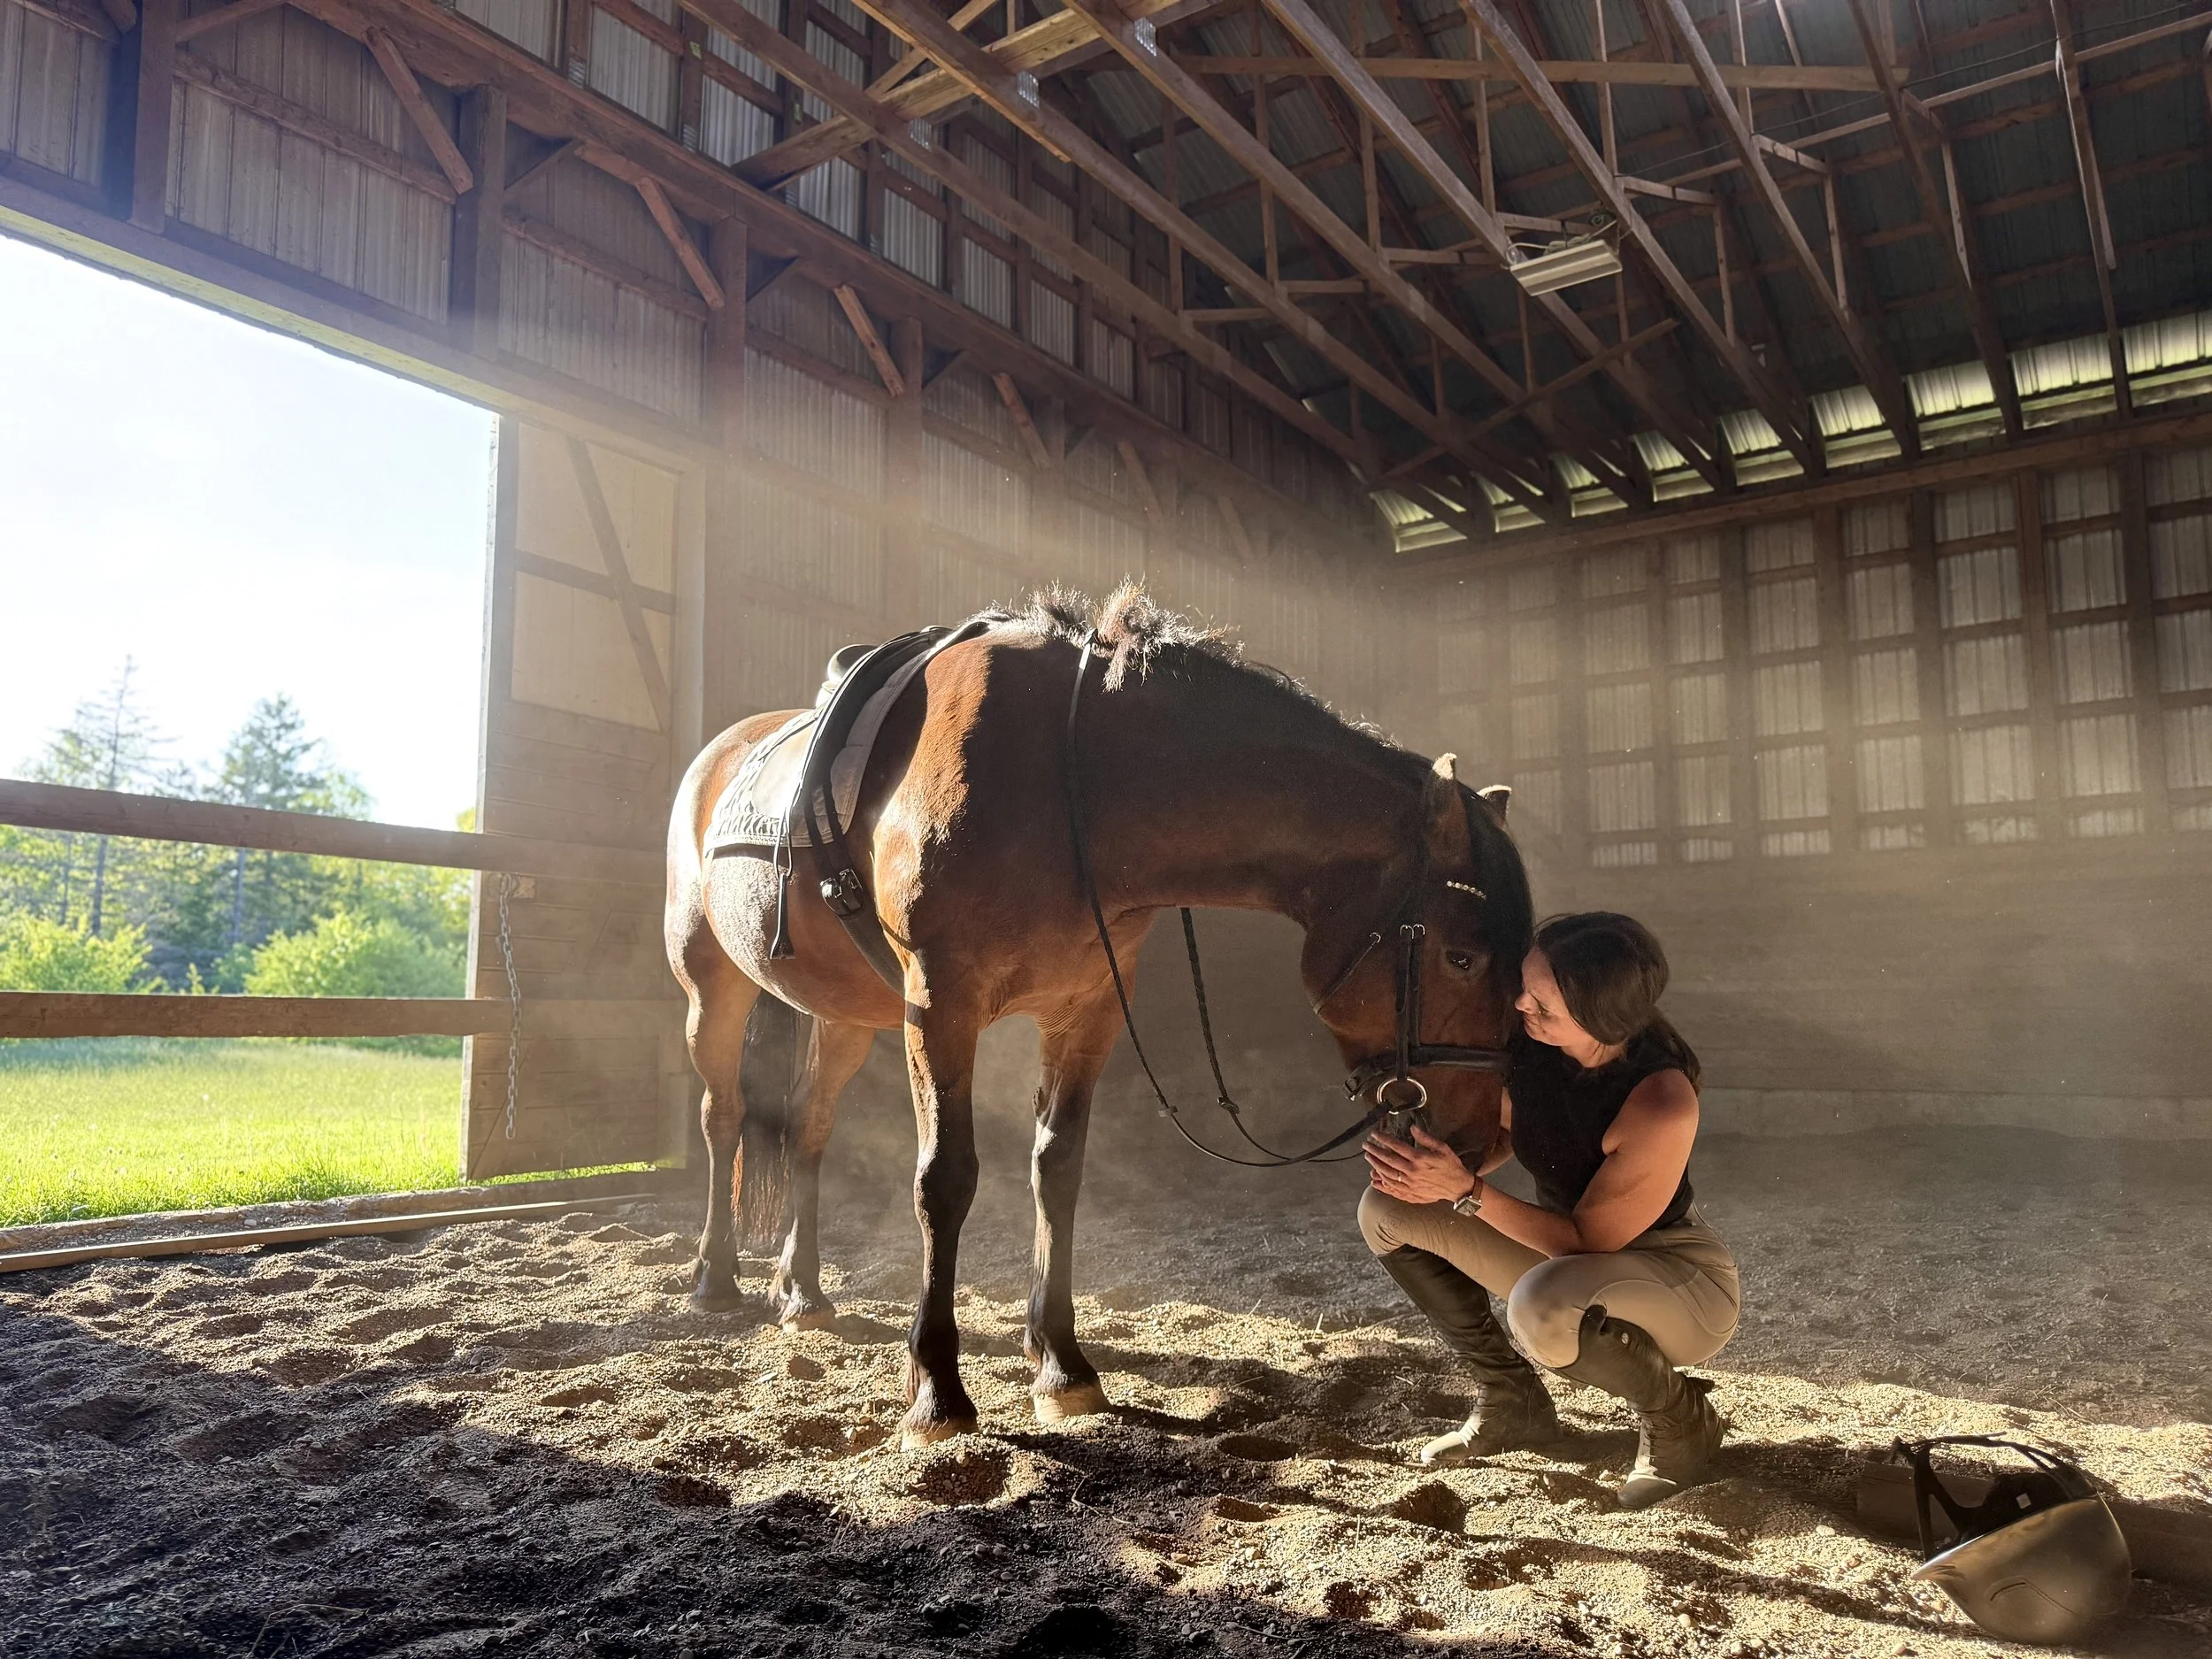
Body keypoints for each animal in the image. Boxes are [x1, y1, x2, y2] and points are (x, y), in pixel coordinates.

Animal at [663, 585, 1534, 1448]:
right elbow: (945, 1179)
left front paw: (1061, 1365)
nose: (1480, 1143)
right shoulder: (939, 1006)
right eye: (1462, 957)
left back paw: (802, 1290)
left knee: (807, 1127)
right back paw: (714, 1276)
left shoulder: (1087, 1010)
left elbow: (1058, 1169)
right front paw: (937, 1389)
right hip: (712, 990)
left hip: (843, 1016)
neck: (1071, 777)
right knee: (722, 1114)